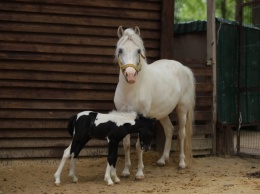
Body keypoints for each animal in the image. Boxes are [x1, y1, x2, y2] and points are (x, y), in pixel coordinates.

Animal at [114, 25, 195, 179]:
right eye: (120, 50)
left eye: (138, 51)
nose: (131, 75)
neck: (132, 88)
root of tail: (184, 68)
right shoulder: (123, 115)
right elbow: (126, 144)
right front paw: (126, 171)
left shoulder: (142, 116)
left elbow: (138, 145)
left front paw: (139, 173)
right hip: (162, 113)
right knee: (169, 130)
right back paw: (162, 160)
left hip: (182, 109)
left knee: (181, 133)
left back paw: (181, 163)